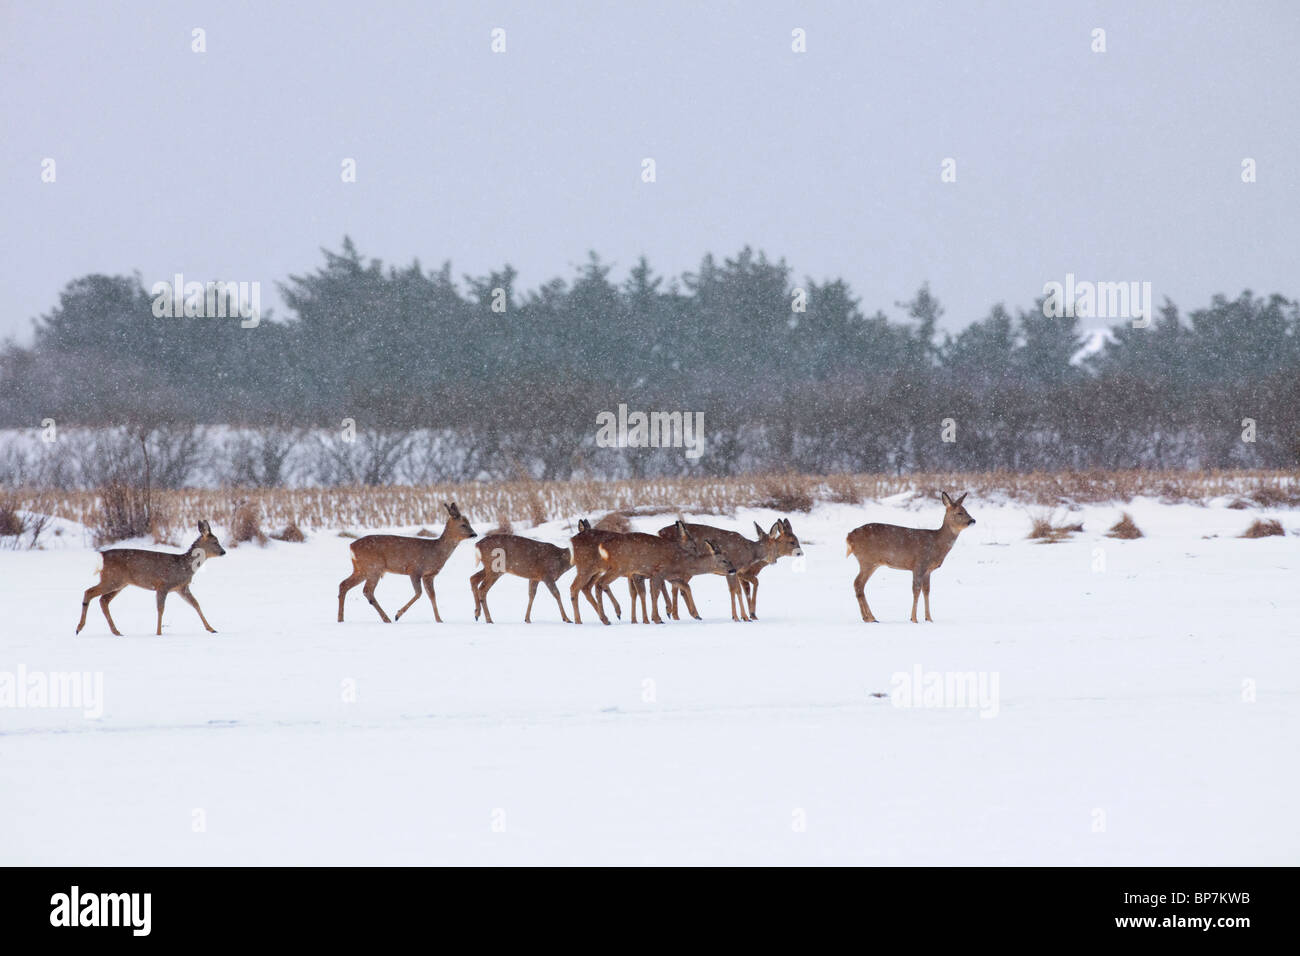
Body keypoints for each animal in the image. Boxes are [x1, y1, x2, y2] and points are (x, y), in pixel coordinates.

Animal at [75, 520, 227, 636]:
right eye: (215, 542)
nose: (223, 552)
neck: (184, 566)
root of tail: (102, 555)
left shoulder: (182, 587)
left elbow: (196, 604)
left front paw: (212, 629)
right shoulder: (163, 585)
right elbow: (161, 609)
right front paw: (159, 633)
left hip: (119, 583)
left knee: (103, 600)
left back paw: (116, 632)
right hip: (112, 579)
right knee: (89, 592)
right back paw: (79, 628)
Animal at [337, 502, 476, 623]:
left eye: (469, 523)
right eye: (463, 524)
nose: (474, 534)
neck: (436, 552)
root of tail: (351, 546)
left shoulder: (429, 575)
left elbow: (432, 595)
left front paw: (439, 620)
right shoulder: (415, 569)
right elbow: (419, 593)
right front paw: (397, 614)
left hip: (361, 569)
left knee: (344, 584)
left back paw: (340, 619)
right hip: (374, 567)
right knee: (367, 591)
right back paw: (387, 619)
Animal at [657, 518, 803, 620]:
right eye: (792, 541)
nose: (801, 553)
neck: (750, 553)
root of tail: (659, 532)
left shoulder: (736, 572)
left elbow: (740, 589)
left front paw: (744, 615)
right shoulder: (736, 570)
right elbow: (738, 589)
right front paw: (744, 616)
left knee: (675, 585)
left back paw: (676, 614)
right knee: (673, 584)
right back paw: (675, 613)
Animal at [846, 491, 976, 623]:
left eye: (966, 510)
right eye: (959, 512)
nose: (973, 520)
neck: (936, 544)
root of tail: (849, 536)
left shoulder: (928, 570)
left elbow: (926, 591)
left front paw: (929, 619)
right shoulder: (919, 564)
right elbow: (916, 590)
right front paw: (914, 619)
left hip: (871, 562)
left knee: (859, 584)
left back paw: (869, 617)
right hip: (867, 560)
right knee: (858, 583)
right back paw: (870, 618)